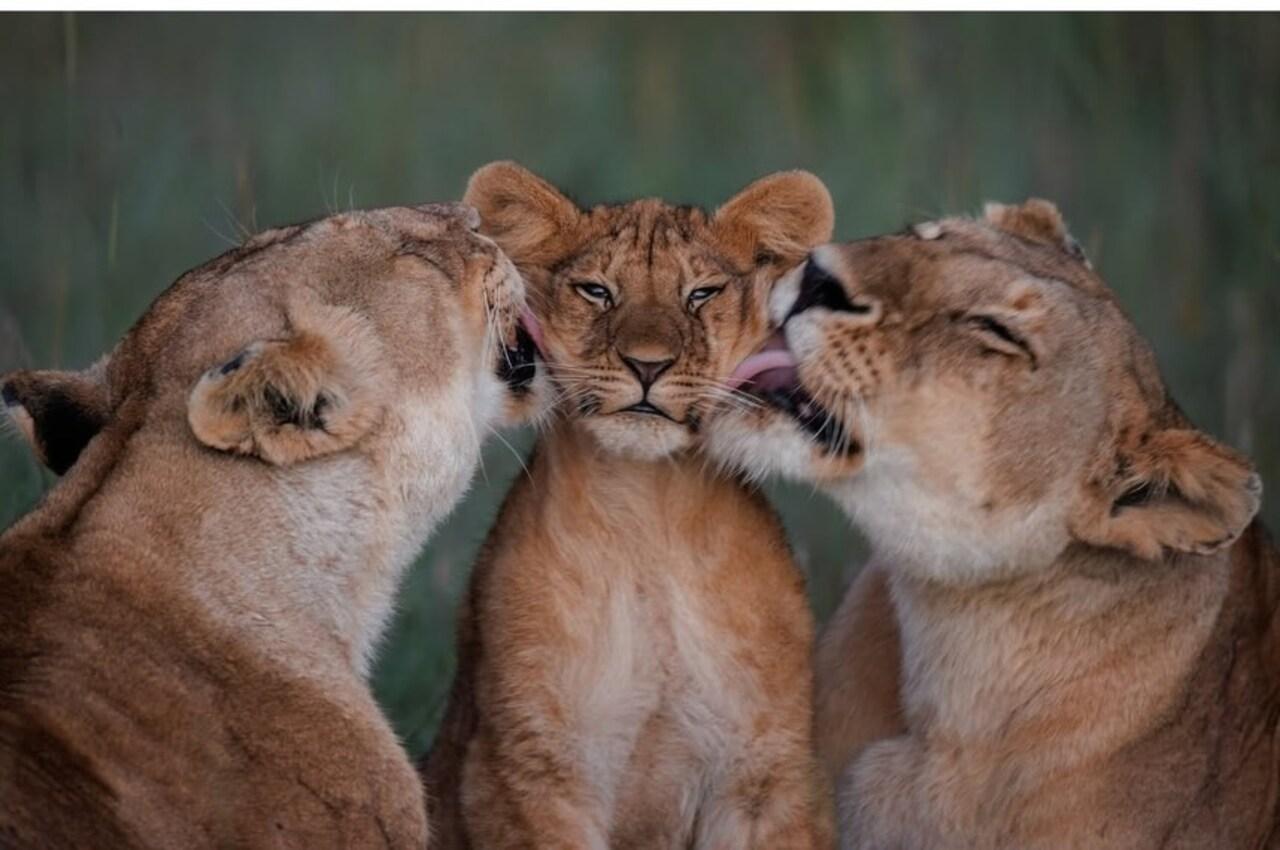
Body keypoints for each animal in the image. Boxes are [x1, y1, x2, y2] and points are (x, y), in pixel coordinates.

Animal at [419, 162, 836, 849]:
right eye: (596, 291)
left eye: (700, 294)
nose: (647, 365)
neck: (649, 516)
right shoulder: (527, 773)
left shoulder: (764, 777)